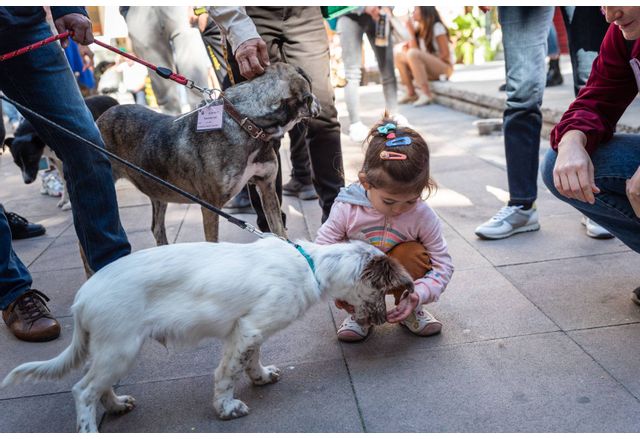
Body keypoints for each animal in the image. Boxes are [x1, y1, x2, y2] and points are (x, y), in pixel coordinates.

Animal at [1, 237, 416, 434]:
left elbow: (252, 358)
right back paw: (90, 428)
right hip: (120, 347)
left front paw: (261, 377)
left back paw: (117, 405)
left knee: (97, 386)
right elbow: (227, 373)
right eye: (383, 292)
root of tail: (82, 298)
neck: (310, 266)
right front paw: (226, 409)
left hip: (113, 350)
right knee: (82, 390)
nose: (383, 318)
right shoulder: (247, 329)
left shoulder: (249, 329)